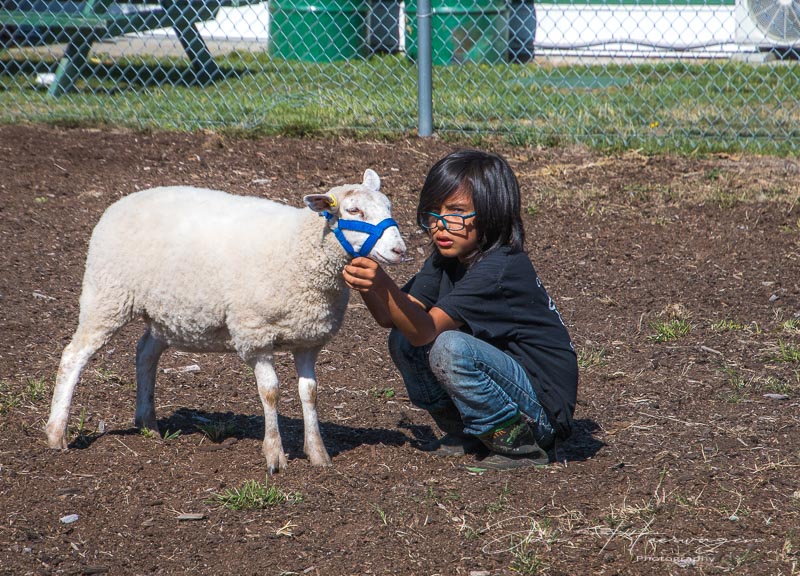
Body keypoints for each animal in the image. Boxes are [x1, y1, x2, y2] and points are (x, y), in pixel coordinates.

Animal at [44, 168, 406, 472]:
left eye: (388, 207)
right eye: (354, 211)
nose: (400, 250)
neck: (300, 249)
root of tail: (123, 201)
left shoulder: (308, 340)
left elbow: (310, 393)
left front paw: (318, 453)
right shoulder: (255, 334)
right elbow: (270, 392)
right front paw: (274, 455)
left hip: (165, 310)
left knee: (145, 352)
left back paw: (148, 423)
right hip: (107, 296)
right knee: (74, 357)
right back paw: (56, 434)